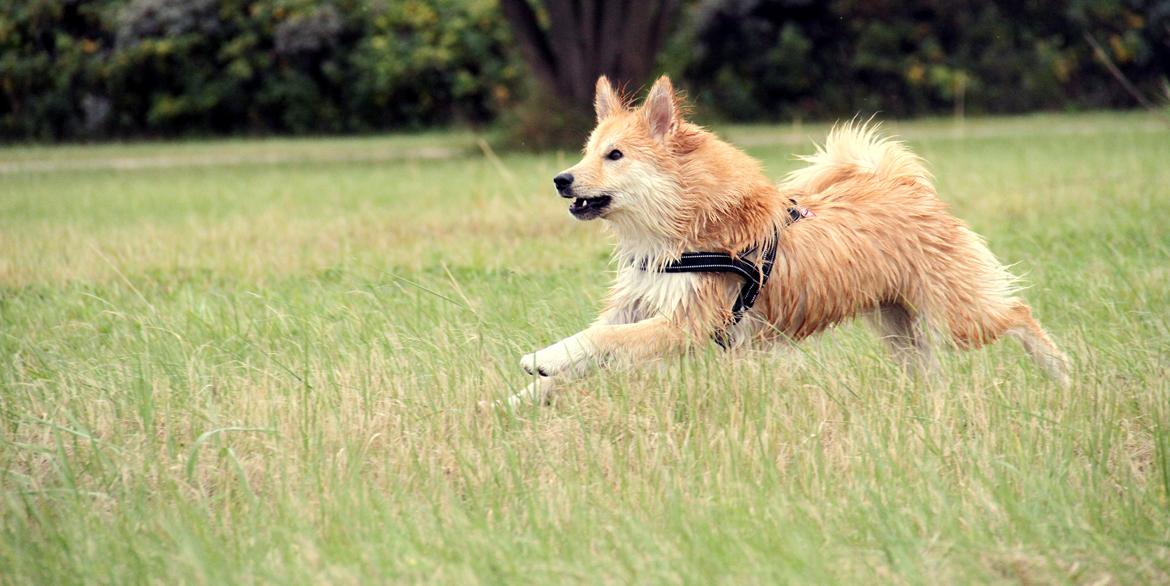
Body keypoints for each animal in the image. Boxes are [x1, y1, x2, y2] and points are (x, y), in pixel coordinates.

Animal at [512, 75, 1071, 404]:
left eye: (616, 155)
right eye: (587, 151)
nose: (561, 179)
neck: (679, 231)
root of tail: (903, 183)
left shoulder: (688, 322)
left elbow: (603, 343)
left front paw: (540, 362)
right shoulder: (637, 305)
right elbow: (589, 345)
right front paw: (529, 392)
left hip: (957, 317)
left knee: (1017, 313)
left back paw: (1061, 373)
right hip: (896, 325)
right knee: (928, 369)